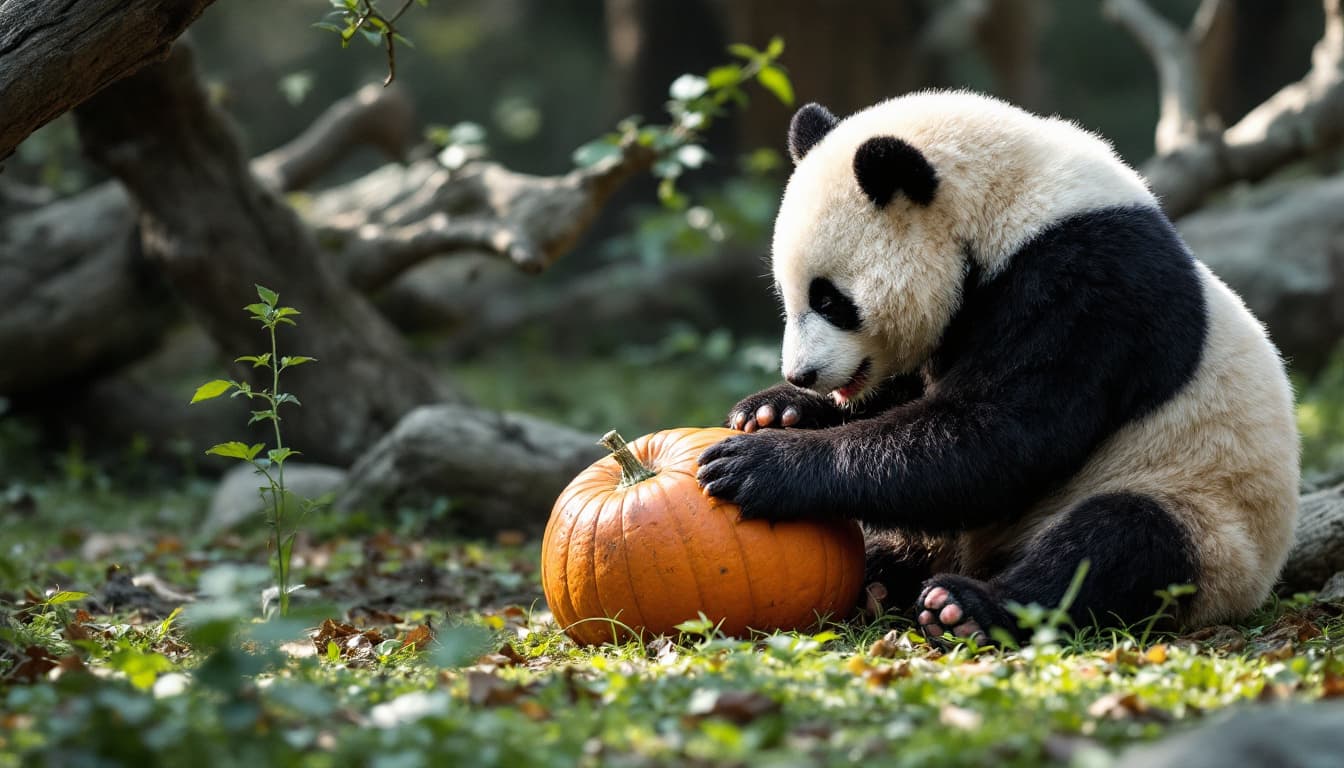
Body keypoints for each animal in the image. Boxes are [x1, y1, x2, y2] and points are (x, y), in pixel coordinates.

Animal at [696, 91, 1300, 643]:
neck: (1008, 202)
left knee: (1121, 543)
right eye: (787, 295)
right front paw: (774, 411)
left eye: (829, 300)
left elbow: (1001, 433)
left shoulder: (1086, 287)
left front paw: (757, 464)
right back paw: (882, 581)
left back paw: (965, 608)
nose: (802, 374)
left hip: (1204, 516)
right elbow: (914, 398)